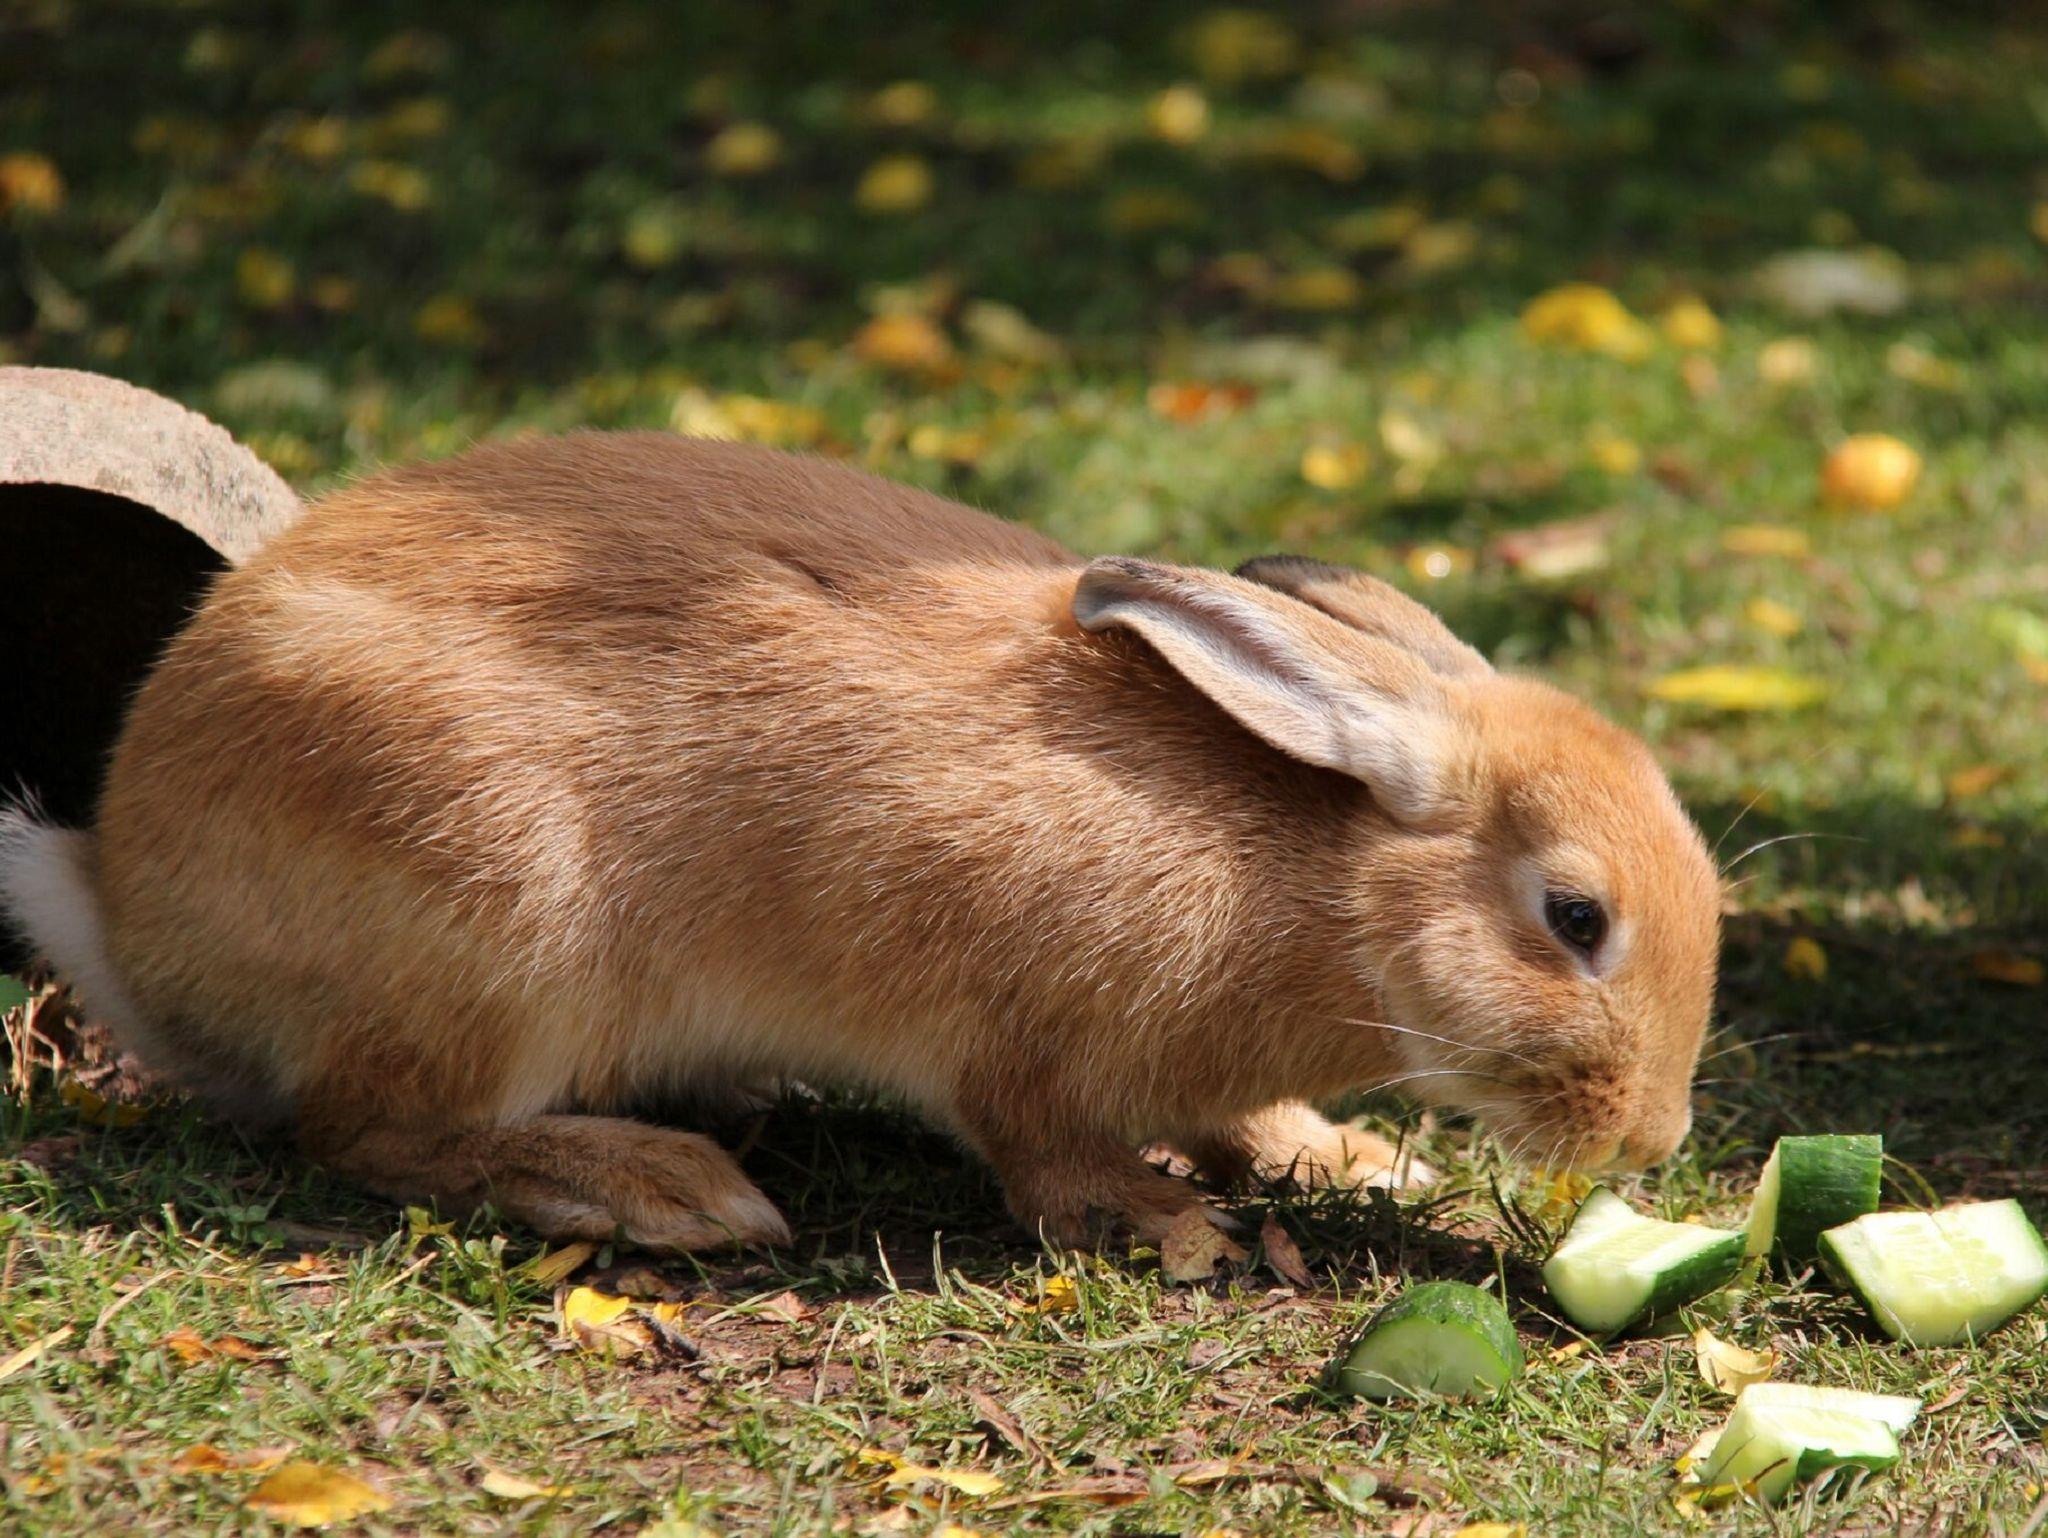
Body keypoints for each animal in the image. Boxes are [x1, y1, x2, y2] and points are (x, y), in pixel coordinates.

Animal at [0, 432, 1721, 1252]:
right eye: (1574, 917)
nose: (1652, 1141)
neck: (1325, 888)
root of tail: (128, 910)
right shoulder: (1004, 1025)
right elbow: (1033, 1137)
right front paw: (1164, 1224)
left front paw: (1342, 1157)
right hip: (494, 917)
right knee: (364, 1127)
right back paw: (654, 1188)